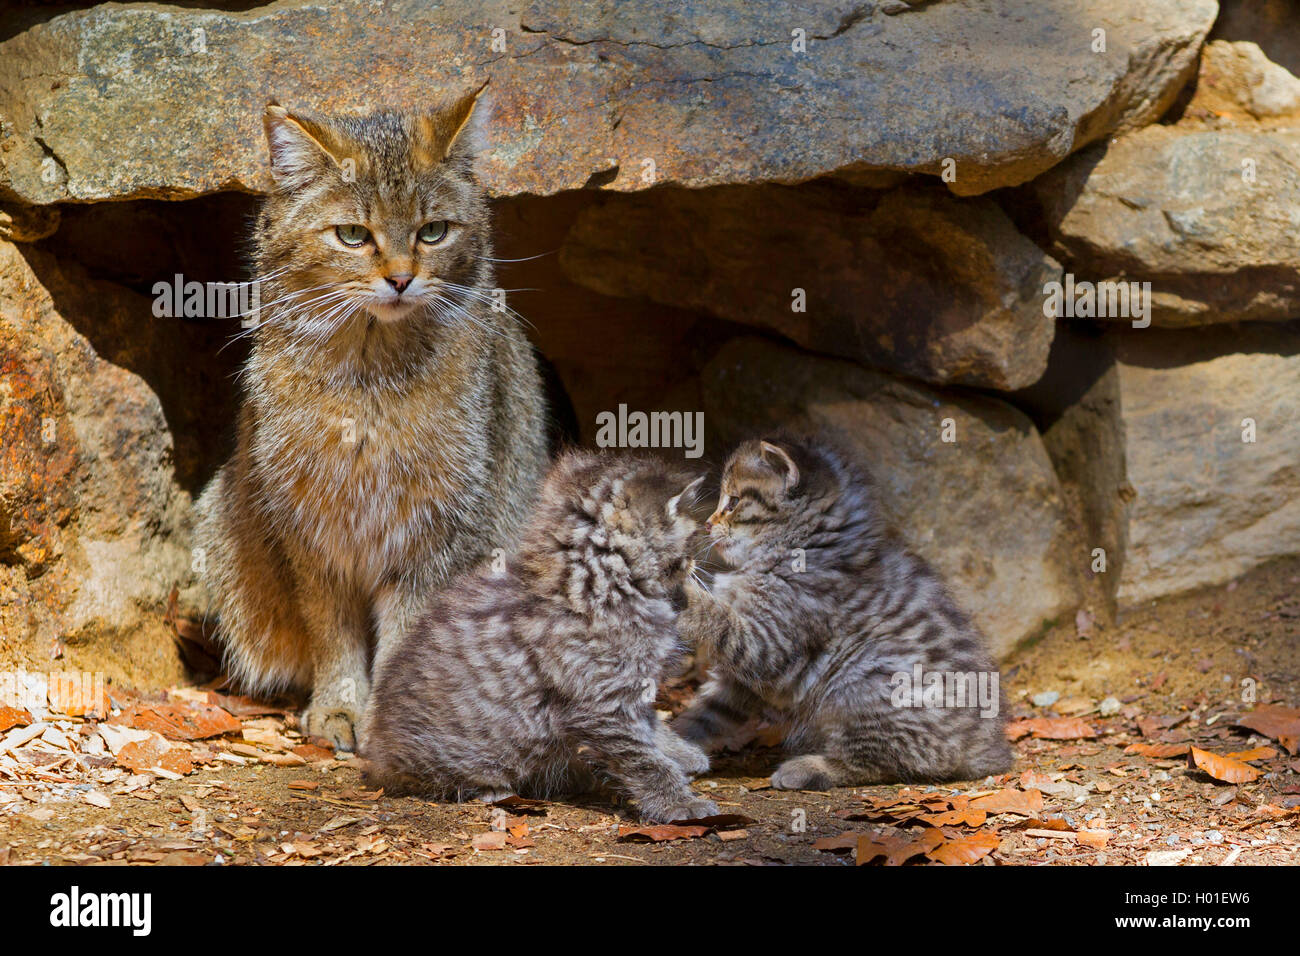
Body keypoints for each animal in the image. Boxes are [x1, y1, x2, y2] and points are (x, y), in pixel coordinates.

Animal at [191, 85, 543, 749]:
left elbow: (408, 634)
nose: (401, 279)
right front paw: (340, 706)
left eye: (434, 231)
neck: (369, 379)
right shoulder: (309, 531)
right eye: (353, 234)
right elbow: (332, 632)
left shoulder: (438, 531)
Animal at [358, 452, 722, 827]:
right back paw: (495, 788)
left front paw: (682, 753)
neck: (592, 590)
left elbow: (654, 728)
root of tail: (381, 752)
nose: (695, 561)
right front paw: (680, 804)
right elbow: (646, 762)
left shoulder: (632, 689)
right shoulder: (604, 705)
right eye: (691, 539)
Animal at [676, 437, 1008, 790]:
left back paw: (809, 768)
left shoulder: (771, 644)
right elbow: (708, 712)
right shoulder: (740, 680)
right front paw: (675, 743)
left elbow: (719, 618)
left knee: (893, 759)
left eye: (734, 502)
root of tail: (988, 748)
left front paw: (680, 587)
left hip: (864, 680)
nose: (707, 524)